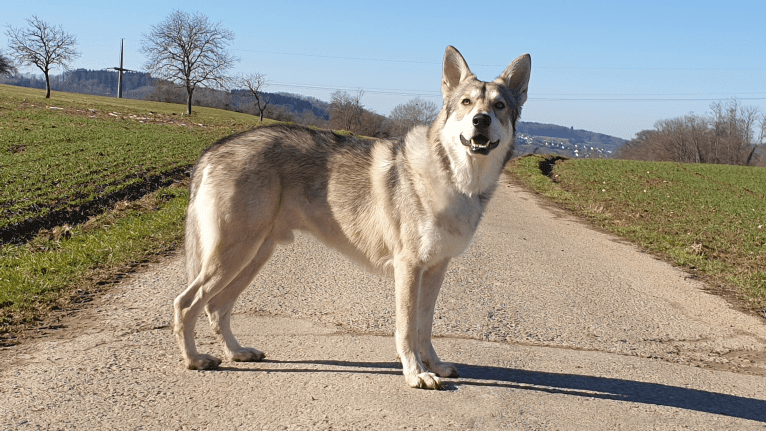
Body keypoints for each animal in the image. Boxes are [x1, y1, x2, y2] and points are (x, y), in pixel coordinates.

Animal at [175, 45, 532, 390]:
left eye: (499, 105)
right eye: (466, 103)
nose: (481, 120)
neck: (458, 180)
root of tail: (214, 148)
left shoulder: (436, 269)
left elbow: (425, 327)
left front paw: (435, 365)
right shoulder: (408, 268)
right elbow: (406, 329)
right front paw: (415, 373)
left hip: (253, 256)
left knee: (217, 308)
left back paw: (236, 352)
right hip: (233, 256)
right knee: (187, 304)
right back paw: (194, 360)